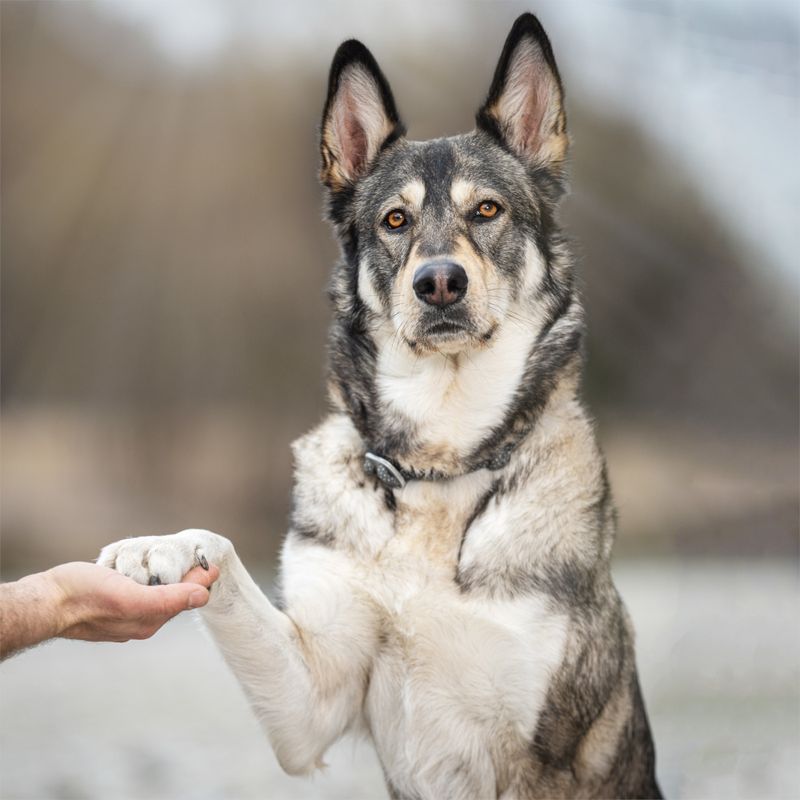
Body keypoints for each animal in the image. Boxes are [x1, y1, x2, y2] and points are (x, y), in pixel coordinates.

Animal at [98, 13, 662, 799]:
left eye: (487, 210)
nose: (440, 282)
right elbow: (225, 552)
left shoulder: (544, 758)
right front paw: (160, 546)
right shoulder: (313, 703)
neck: (438, 468)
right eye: (395, 220)